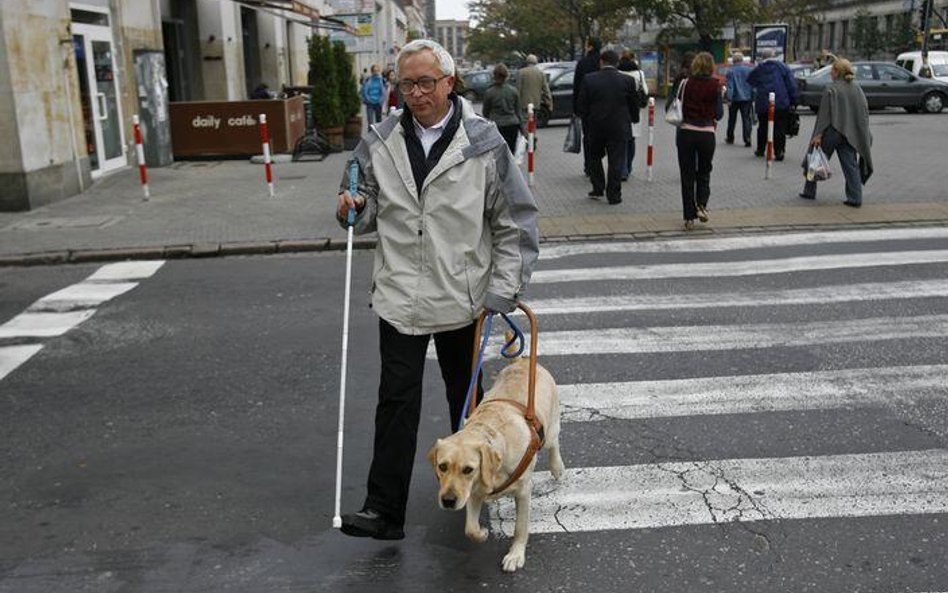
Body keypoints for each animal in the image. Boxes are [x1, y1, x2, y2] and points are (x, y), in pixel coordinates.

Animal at [428, 354, 564, 572]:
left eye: (468, 469)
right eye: (442, 466)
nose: (448, 501)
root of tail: (521, 360)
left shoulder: (524, 491)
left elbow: (520, 528)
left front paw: (515, 555)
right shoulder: (473, 493)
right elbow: (470, 528)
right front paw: (482, 533)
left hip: (550, 429)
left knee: (554, 443)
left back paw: (557, 467)